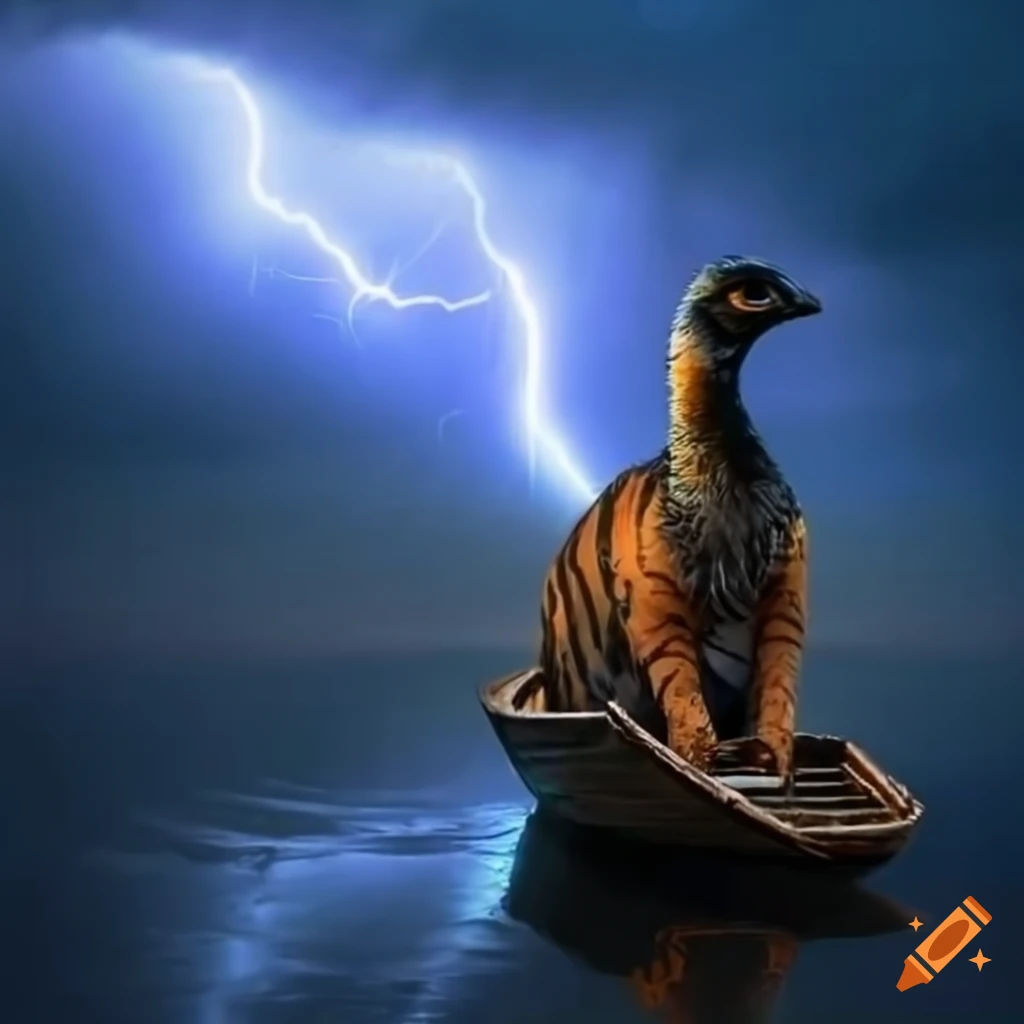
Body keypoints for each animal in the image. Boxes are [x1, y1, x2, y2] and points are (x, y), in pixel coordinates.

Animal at [531, 255, 821, 781]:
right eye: (755, 293)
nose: (810, 300)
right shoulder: (655, 609)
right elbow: (688, 707)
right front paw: (697, 765)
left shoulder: (786, 593)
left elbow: (776, 691)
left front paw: (771, 761)